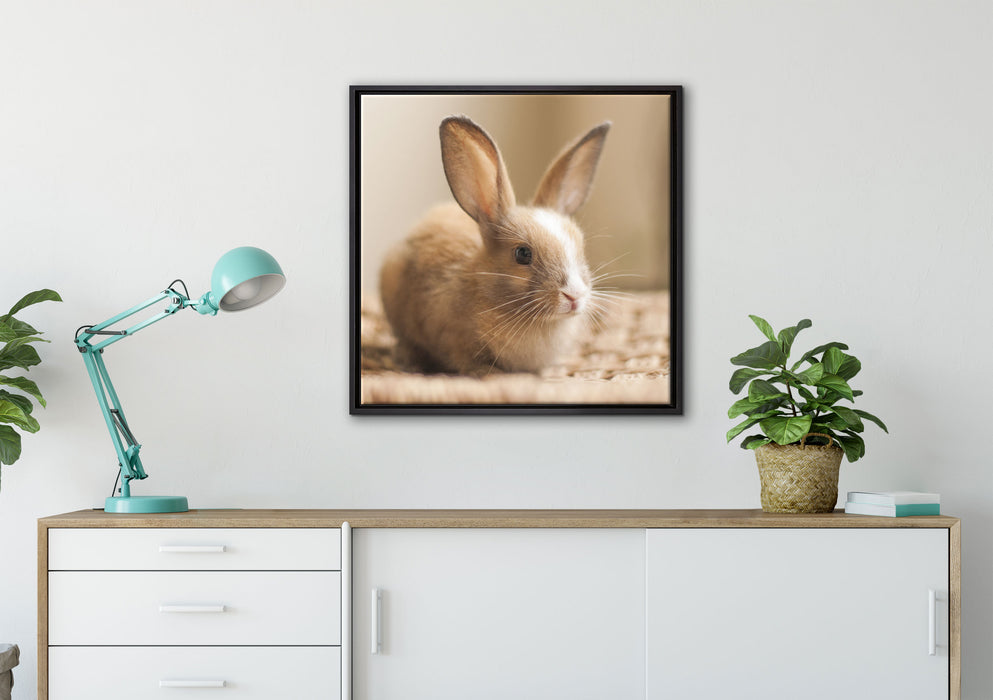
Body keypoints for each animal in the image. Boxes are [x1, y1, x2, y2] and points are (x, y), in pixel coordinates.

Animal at [379, 115, 611, 375]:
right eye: (522, 254)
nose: (574, 295)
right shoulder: (452, 340)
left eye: (580, 247)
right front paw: (489, 373)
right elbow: (466, 361)